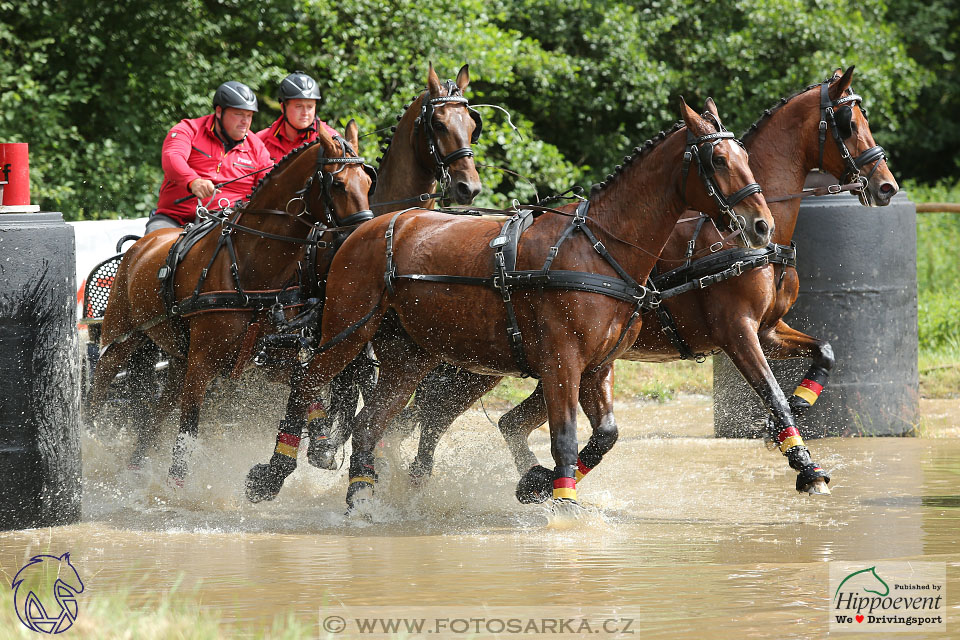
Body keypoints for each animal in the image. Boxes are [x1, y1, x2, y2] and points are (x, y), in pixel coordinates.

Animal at [89, 124, 376, 484]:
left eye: (368, 180)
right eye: (337, 183)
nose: (362, 236)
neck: (252, 266)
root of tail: (140, 245)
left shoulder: (272, 359)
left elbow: (305, 387)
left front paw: (321, 444)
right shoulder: (202, 365)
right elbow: (188, 432)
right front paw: (178, 486)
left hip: (179, 360)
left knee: (156, 414)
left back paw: (135, 466)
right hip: (121, 340)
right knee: (98, 391)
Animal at [246, 97, 772, 508]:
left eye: (745, 155)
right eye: (718, 160)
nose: (762, 224)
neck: (598, 249)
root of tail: (364, 228)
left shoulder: (598, 367)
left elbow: (605, 436)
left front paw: (536, 484)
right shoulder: (562, 362)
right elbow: (564, 439)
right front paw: (561, 505)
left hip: (413, 357)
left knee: (369, 423)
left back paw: (362, 499)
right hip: (348, 332)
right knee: (307, 382)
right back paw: (272, 474)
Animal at [406, 65, 900, 500]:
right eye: (849, 124)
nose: (888, 187)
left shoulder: (768, 329)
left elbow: (824, 354)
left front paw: (795, 414)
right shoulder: (737, 331)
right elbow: (771, 394)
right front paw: (806, 468)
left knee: (504, 423)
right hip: (477, 362)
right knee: (432, 417)